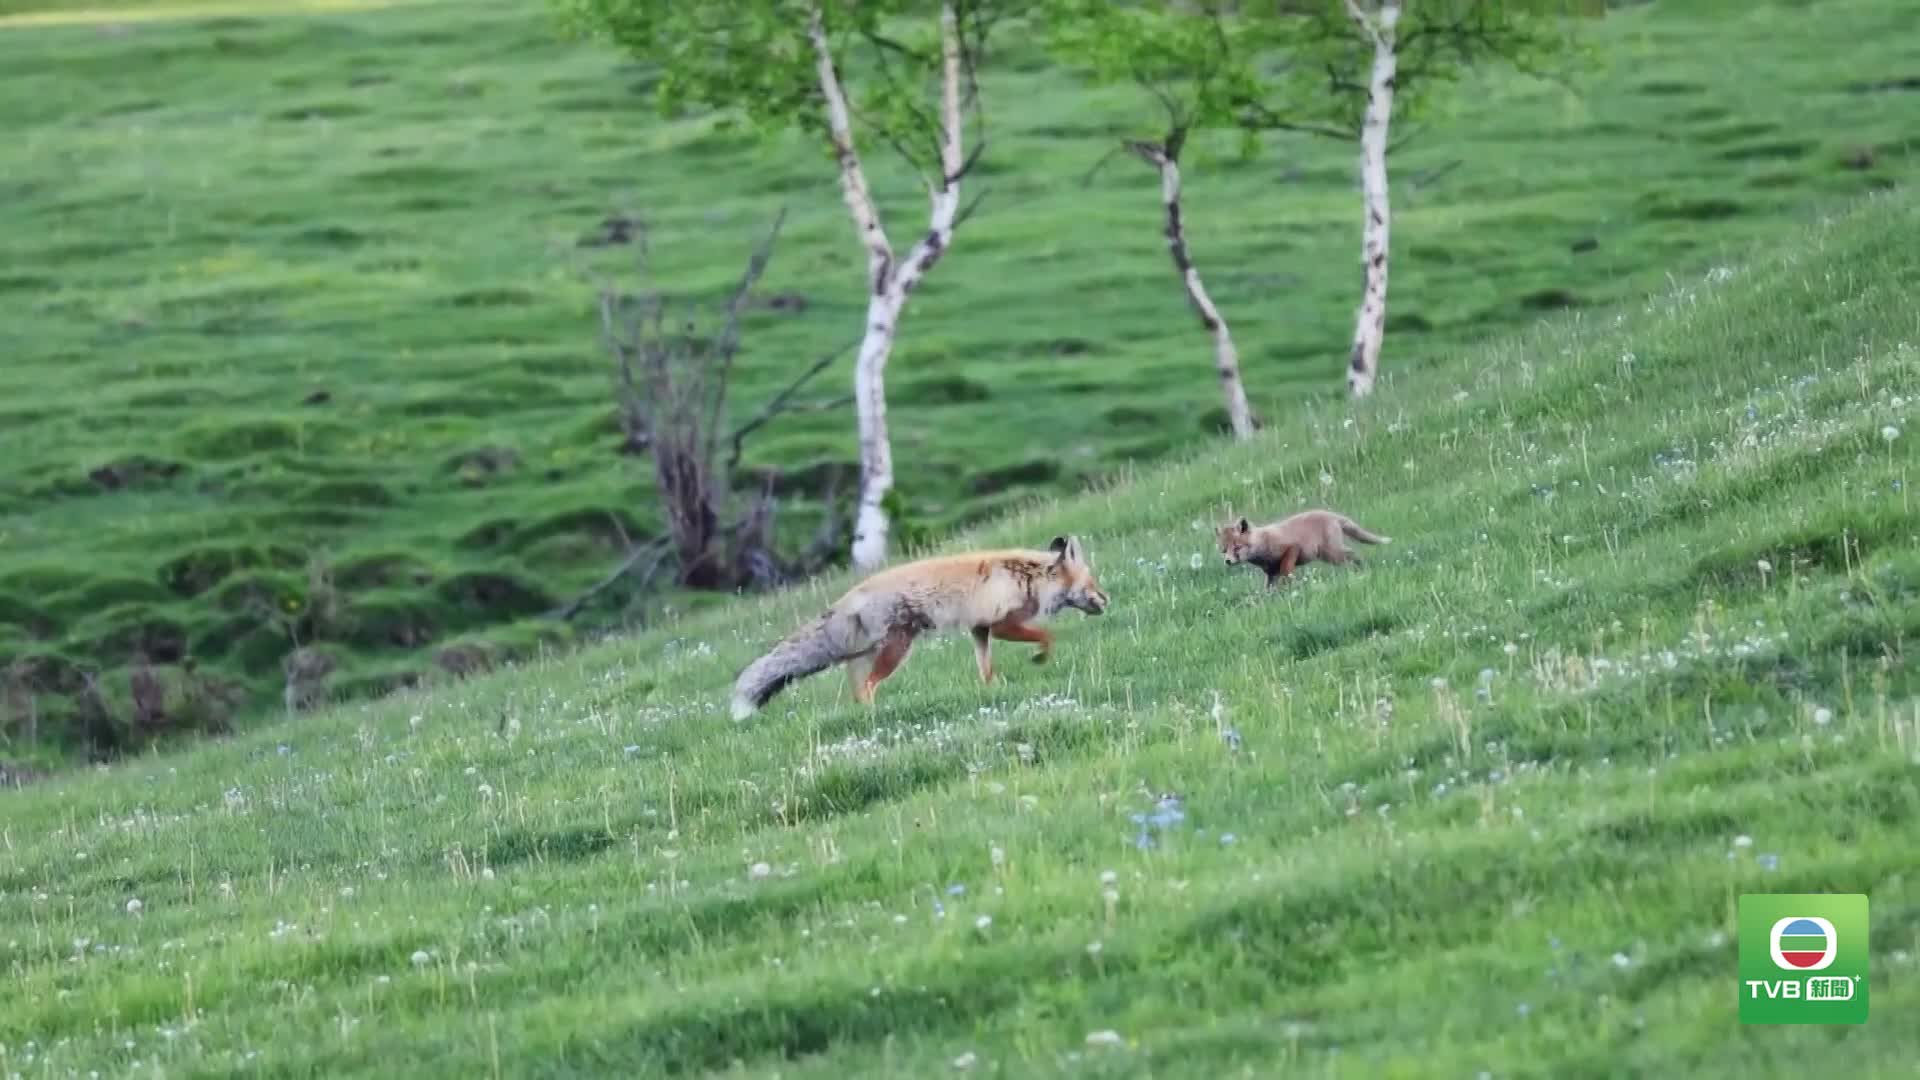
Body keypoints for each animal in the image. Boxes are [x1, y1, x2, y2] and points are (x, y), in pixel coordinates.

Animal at [729, 535, 1110, 720]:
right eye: (1092, 583)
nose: (1107, 599)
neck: (1031, 577)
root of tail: (850, 595)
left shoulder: (980, 629)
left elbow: (986, 669)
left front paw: (992, 691)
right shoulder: (1004, 623)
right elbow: (1047, 636)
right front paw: (1039, 658)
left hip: (863, 654)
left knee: (856, 687)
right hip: (897, 649)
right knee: (868, 687)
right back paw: (874, 714)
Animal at [1217, 508, 1390, 588]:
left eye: (1237, 548)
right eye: (1224, 550)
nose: (1227, 561)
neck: (1263, 543)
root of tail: (1330, 513)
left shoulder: (1291, 549)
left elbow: (1287, 573)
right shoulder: (1270, 572)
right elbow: (1268, 589)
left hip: (1332, 554)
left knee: (1352, 554)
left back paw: (1359, 569)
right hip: (1329, 555)